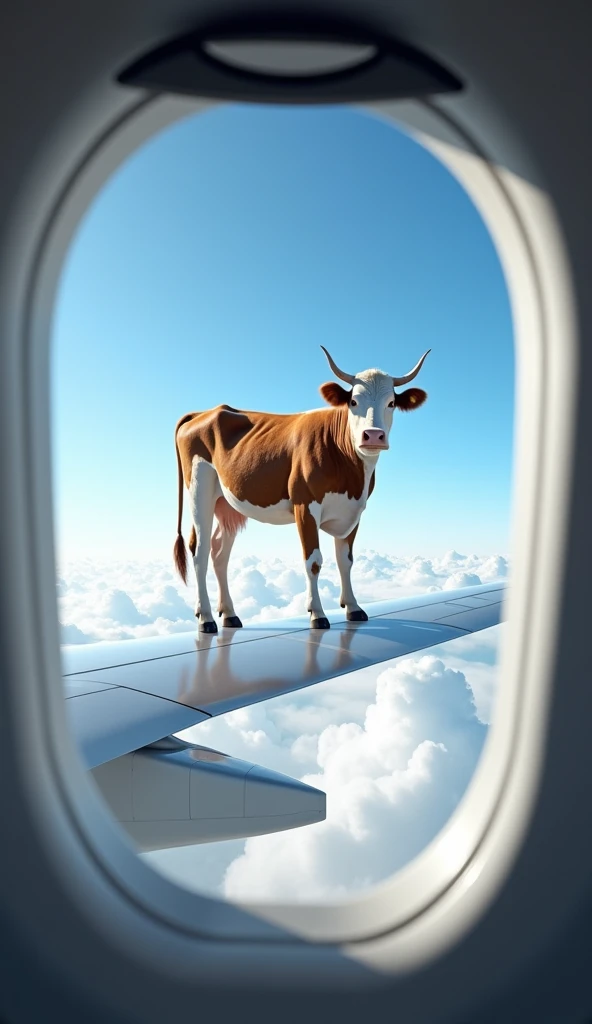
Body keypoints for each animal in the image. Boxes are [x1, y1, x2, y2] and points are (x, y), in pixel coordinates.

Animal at [173, 348, 426, 626]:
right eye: (353, 402)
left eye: (391, 403)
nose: (373, 435)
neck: (351, 474)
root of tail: (203, 412)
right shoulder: (304, 504)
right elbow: (313, 561)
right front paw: (317, 613)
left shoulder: (354, 511)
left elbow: (345, 560)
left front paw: (353, 607)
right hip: (200, 489)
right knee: (200, 550)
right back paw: (206, 618)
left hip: (227, 503)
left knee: (220, 553)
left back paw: (229, 614)